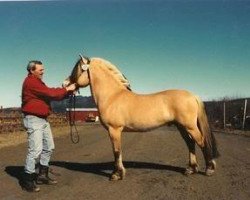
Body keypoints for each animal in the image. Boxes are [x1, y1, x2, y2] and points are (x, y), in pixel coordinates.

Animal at [63, 55, 219, 181]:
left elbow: (116, 151)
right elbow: (117, 152)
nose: (64, 84)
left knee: (201, 142)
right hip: (182, 127)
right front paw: (118, 172)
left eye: (77, 69)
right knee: (191, 144)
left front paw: (116, 175)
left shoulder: (114, 130)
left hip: (189, 126)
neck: (112, 96)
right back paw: (191, 169)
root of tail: (193, 95)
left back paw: (209, 169)